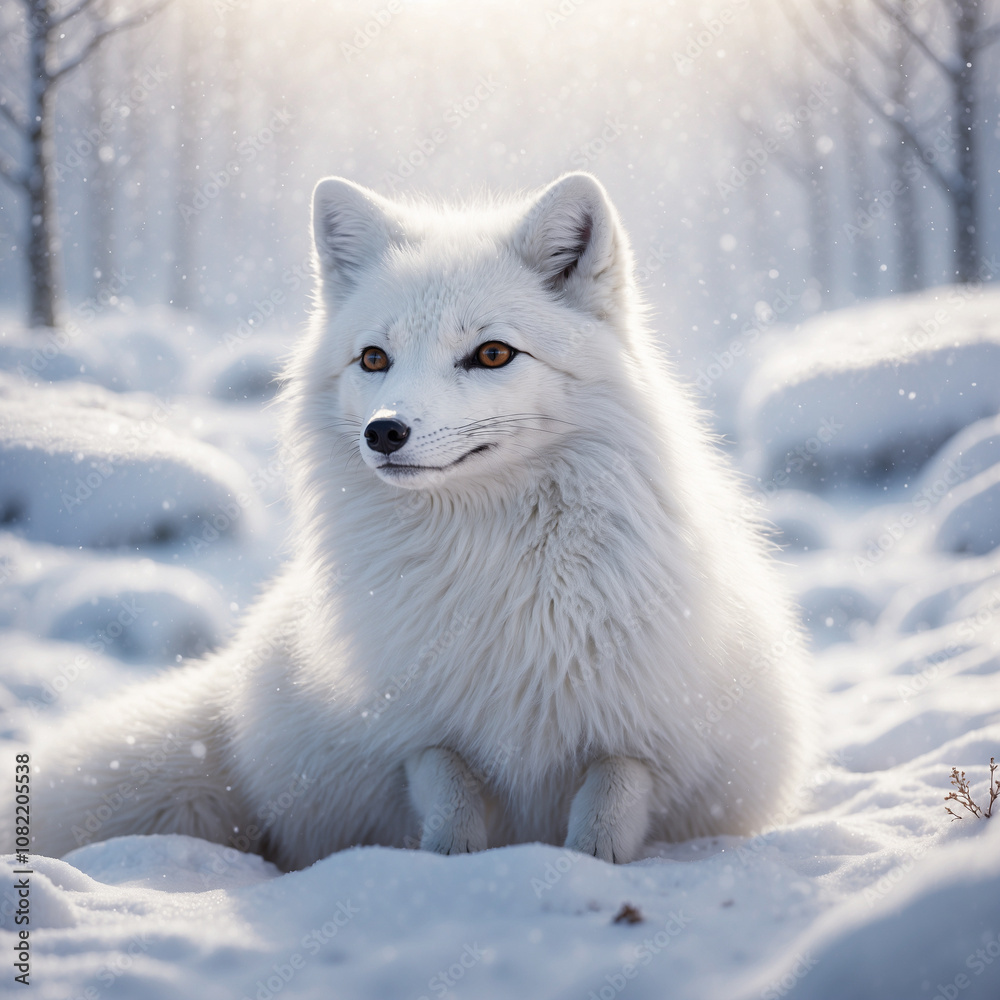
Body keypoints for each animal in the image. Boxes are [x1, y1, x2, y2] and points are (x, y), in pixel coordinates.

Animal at [28, 173, 813, 870]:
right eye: (374, 358)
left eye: (492, 353)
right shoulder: (420, 728)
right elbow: (449, 801)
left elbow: (608, 807)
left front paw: (590, 869)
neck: (489, 555)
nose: (383, 431)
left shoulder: (642, 735)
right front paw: (449, 872)